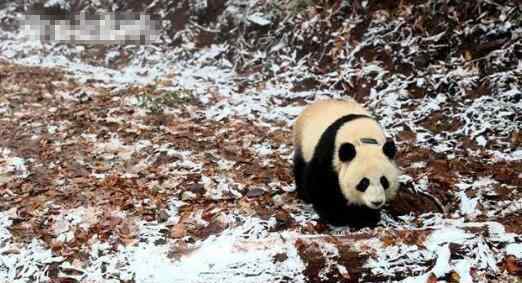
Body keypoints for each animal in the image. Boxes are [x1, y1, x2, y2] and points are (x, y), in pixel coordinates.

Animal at [292, 100, 398, 229]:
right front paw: (341, 217)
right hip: (303, 142)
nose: (376, 202)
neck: (363, 140)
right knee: (301, 167)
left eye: (384, 181)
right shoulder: (329, 154)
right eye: (364, 182)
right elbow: (321, 187)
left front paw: (367, 217)